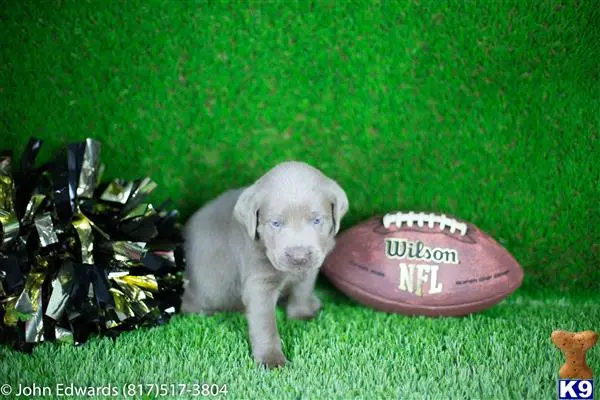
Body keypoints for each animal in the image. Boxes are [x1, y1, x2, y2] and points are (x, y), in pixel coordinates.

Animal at [182, 161, 346, 368]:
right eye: (275, 223)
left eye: (317, 220)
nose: (299, 256)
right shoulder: (259, 282)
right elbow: (264, 323)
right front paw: (271, 358)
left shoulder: (312, 266)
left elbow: (302, 289)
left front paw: (301, 314)